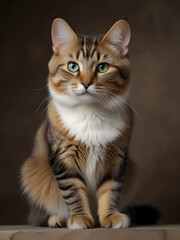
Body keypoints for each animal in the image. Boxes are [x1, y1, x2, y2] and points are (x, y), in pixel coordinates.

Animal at [20, 17, 135, 229]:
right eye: (73, 66)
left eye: (102, 67)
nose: (86, 83)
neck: (90, 113)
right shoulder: (63, 159)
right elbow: (73, 192)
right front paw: (80, 217)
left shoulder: (117, 159)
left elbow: (110, 190)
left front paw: (109, 217)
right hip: (31, 173)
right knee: (39, 216)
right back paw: (56, 219)